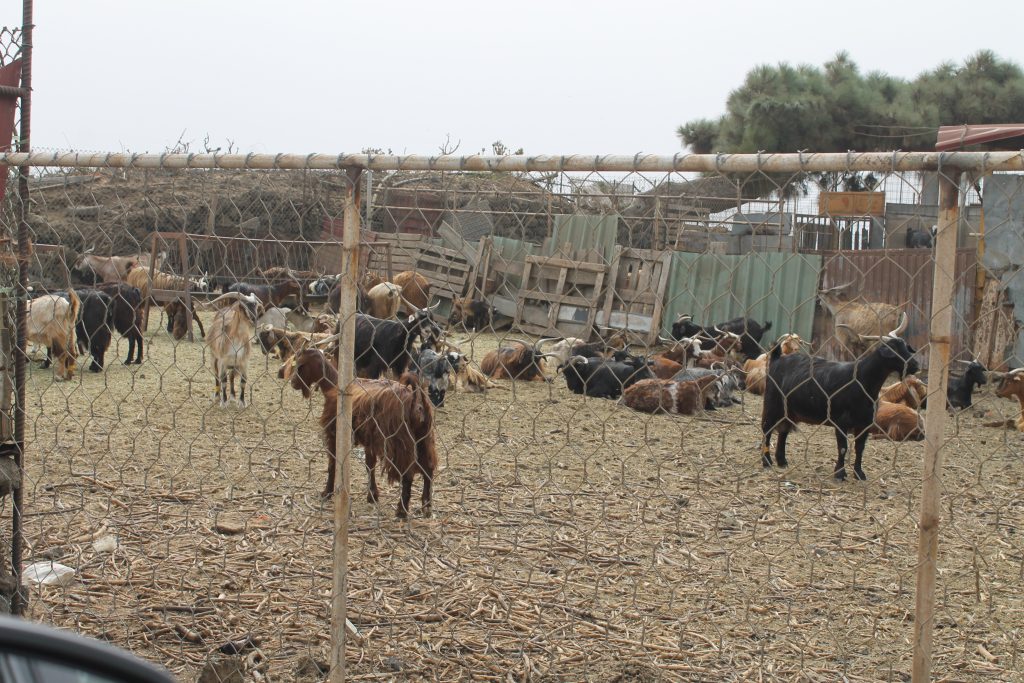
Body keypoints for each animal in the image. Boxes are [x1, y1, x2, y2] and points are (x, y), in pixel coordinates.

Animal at [288, 350, 436, 516]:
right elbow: (369, 466)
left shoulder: (333, 434)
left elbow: (332, 464)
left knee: (408, 474)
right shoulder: (369, 441)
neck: (333, 386)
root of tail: (416, 398)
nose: (293, 383)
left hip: (400, 442)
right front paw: (372, 495)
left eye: (300, 365)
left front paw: (327, 493)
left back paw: (401, 511)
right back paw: (426, 505)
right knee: (429, 469)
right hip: (423, 439)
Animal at [761, 313, 921, 481]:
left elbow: (860, 448)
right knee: (767, 429)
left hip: (789, 411)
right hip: (772, 403)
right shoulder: (840, 422)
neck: (861, 380)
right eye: (892, 349)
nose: (915, 365)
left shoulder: (865, 424)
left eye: (905, 346)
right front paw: (839, 473)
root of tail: (777, 357)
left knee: (783, 431)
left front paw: (859, 473)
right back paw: (767, 462)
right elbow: (843, 447)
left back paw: (782, 461)